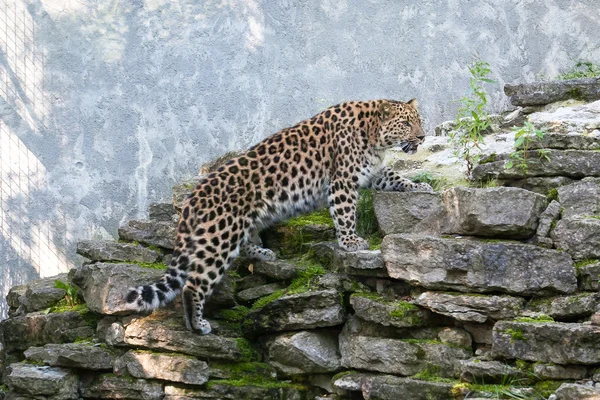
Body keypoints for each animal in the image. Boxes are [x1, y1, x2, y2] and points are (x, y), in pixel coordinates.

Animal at [125, 99, 432, 334]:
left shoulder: (374, 172)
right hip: (220, 238)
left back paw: (263, 253)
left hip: (241, 227)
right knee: (193, 284)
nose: (422, 137)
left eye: (419, 121)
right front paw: (350, 241)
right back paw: (198, 325)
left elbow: (395, 177)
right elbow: (346, 212)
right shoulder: (342, 181)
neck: (374, 137)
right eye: (406, 124)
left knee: (241, 247)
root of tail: (193, 199)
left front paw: (420, 187)